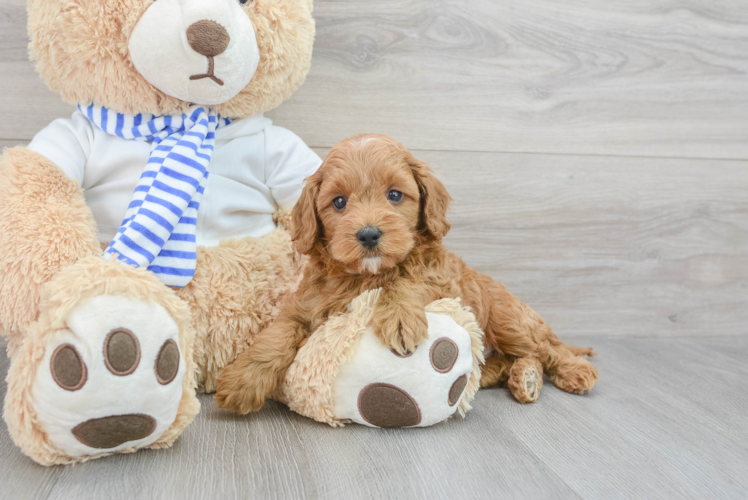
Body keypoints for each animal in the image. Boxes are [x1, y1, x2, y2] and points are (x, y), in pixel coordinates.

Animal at [215, 134, 596, 414]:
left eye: (395, 195)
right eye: (339, 202)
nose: (369, 234)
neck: (365, 276)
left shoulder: (439, 281)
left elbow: (406, 282)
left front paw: (398, 316)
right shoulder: (304, 305)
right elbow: (276, 335)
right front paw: (242, 380)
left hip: (509, 320)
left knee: (546, 348)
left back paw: (574, 370)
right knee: (507, 362)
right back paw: (520, 377)